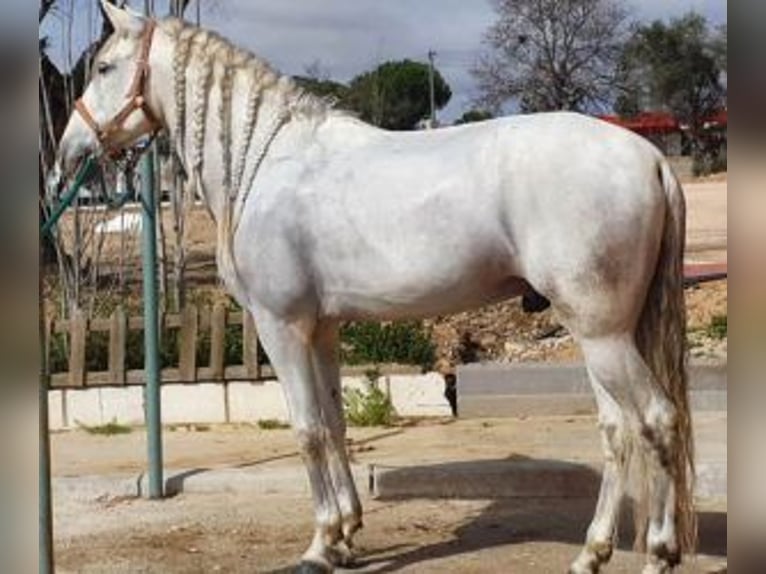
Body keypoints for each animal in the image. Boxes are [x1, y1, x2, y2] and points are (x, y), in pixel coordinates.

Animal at [57, 5, 700, 574]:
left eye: (105, 67)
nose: (68, 152)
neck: (266, 162)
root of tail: (650, 158)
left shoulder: (280, 326)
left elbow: (308, 430)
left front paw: (320, 546)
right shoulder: (322, 328)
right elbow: (336, 424)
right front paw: (347, 535)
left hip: (603, 335)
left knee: (657, 420)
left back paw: (660, 554)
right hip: (601, 336)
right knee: (618, 432)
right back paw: (591, 554)